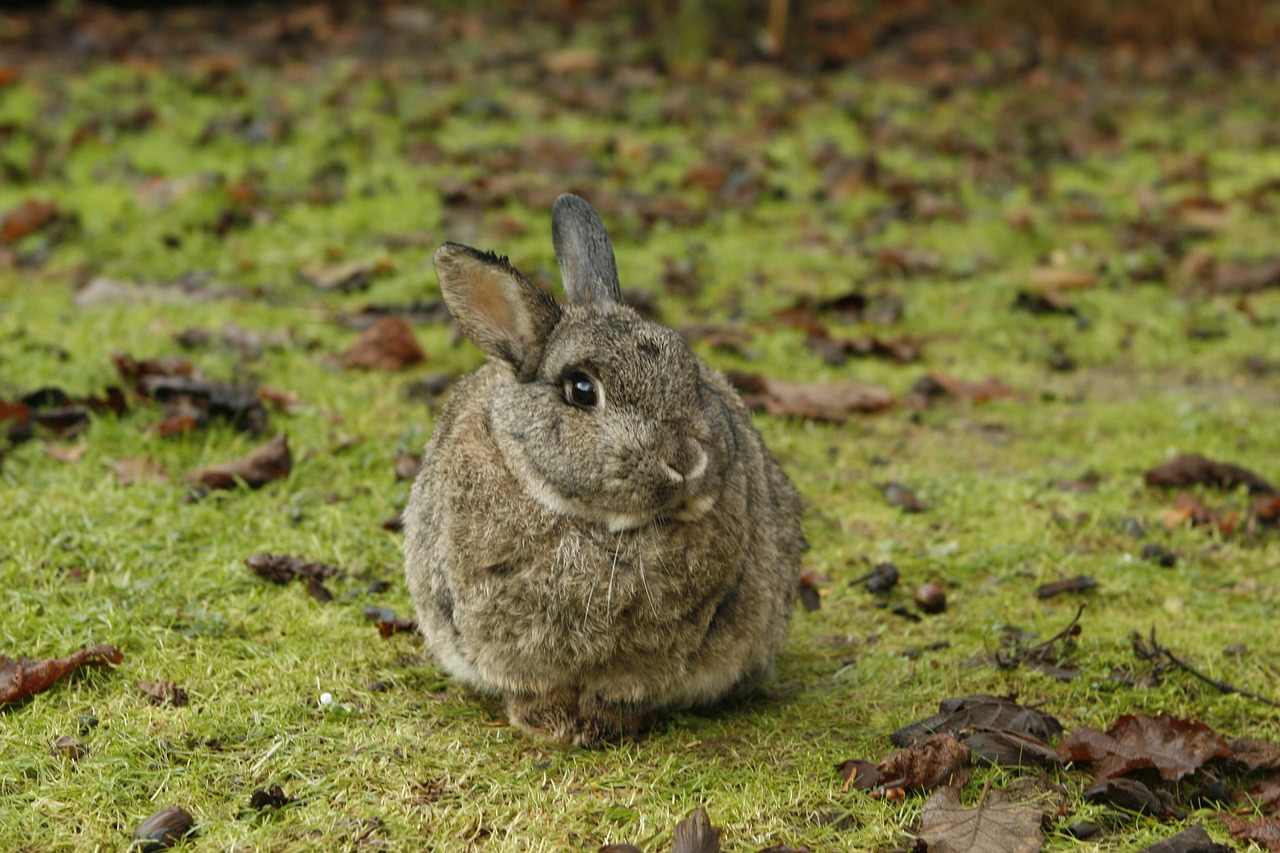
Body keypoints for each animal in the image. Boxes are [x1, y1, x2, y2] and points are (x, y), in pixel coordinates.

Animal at [404, 192, 803, 742]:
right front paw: (549, 723)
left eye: (691, 373)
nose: (686, 460)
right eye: (581, 390)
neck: (592, 522)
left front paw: (597, 724)